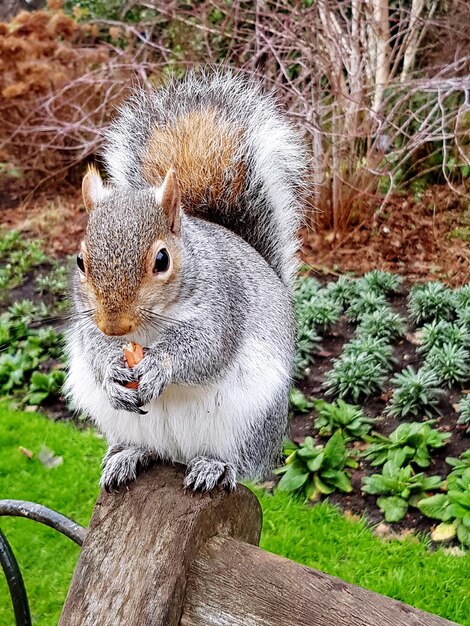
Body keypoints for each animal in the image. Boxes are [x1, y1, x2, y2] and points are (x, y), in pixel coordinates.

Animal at [64, 70, 306, 490]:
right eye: (81, 261)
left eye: (162, 260)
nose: (115, 325)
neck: (146, 332)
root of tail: (178, 454)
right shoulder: (87, 321)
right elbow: (94, 348)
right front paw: (111, 369)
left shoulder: (223, 304)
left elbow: (205, 348)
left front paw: (159, 366)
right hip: (122, 422)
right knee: (145, 447)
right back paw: (128, 455)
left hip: (245, 424)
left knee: (238, 462)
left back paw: (214, 466)